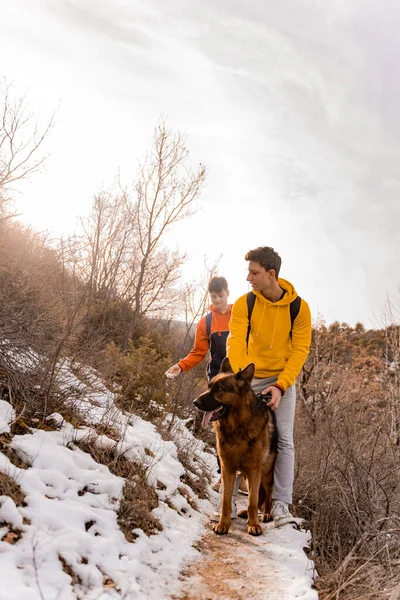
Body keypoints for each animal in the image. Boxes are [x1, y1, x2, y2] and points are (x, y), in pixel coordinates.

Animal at [193, 358, 276, 536]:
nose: (195, 402)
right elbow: (226, 499)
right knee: (258, 494)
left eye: (219, 389)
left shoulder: (254, 470)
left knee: (268, 494)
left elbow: (252, 501)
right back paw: (246, 513)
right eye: (209, 386)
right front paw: (223, 524)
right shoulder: (228, 469)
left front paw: (254, 525)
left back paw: (266, 514)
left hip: (265, 473)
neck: (238, 425)